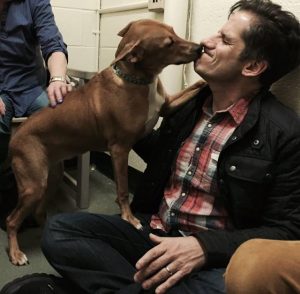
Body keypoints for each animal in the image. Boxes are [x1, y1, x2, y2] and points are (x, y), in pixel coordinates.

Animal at [6, 19, 206, 266]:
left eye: (174, 31)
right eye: (168, 43)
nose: (200, 48)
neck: (138, 80)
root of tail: (15, 137)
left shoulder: (167, 106)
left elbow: (194, 88)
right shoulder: (119, 149)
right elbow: (123, 189)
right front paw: (129, 218)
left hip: (50, 177)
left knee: (38, 212)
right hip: (33, 185)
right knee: (11, 220)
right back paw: (15, 253)